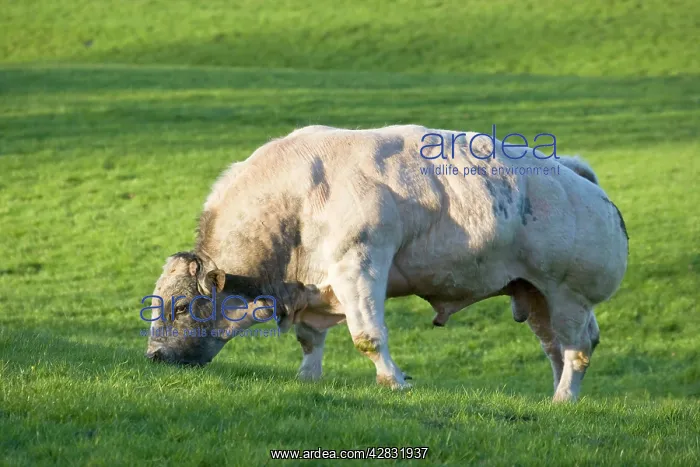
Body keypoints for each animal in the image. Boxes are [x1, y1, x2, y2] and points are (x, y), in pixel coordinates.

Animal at [144, 124, 628, 402]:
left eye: (182, 307)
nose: (153, 357)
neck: (296, 198)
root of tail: (577, 177)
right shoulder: (314, 288)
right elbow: (309, 340)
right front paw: (307, 378)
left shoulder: (359, 267)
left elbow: (368, 336)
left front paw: (394, 381)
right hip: (537, 295)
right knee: (555, 349)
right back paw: (557, 397)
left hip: (570, 297)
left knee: (577, 349)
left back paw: (564, 398)